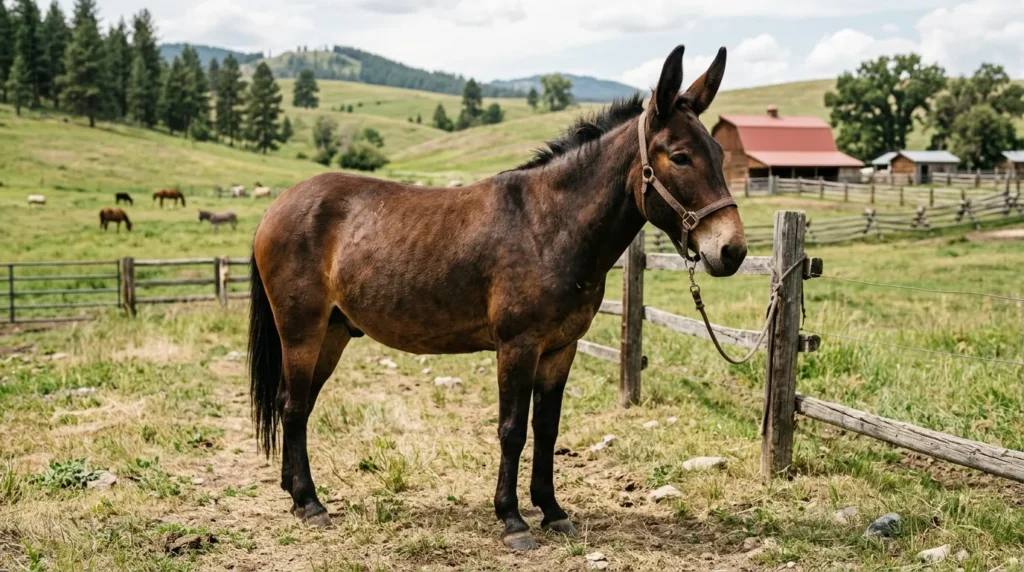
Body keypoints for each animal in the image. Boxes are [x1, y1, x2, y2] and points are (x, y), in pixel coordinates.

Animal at [248, 46, 745, 550]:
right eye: (680, 157)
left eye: (720, 152)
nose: (732, 250)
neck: (549, 224)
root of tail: (277, 206)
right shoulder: (517, 347)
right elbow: (511, 430)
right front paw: (512, 519)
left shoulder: (560, 349)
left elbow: (546, 429)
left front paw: (552, 510)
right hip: (302, 331)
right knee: (292, 407)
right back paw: (310, 503)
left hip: (332, 333)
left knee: (296, 404)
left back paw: (295, 494)